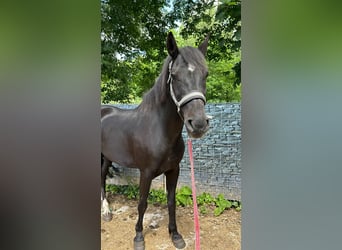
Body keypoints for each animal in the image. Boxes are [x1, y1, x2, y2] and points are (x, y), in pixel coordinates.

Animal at [100, 32, 210, 249]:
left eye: (206, 74)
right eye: (174, 76)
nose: (198, 124)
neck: (159, 131)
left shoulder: (173, 170)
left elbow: (171, 202)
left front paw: (175, 235)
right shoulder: (146, 172)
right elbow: (142, 203)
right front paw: (138, 237)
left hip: (107, 156)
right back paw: (106, 211)